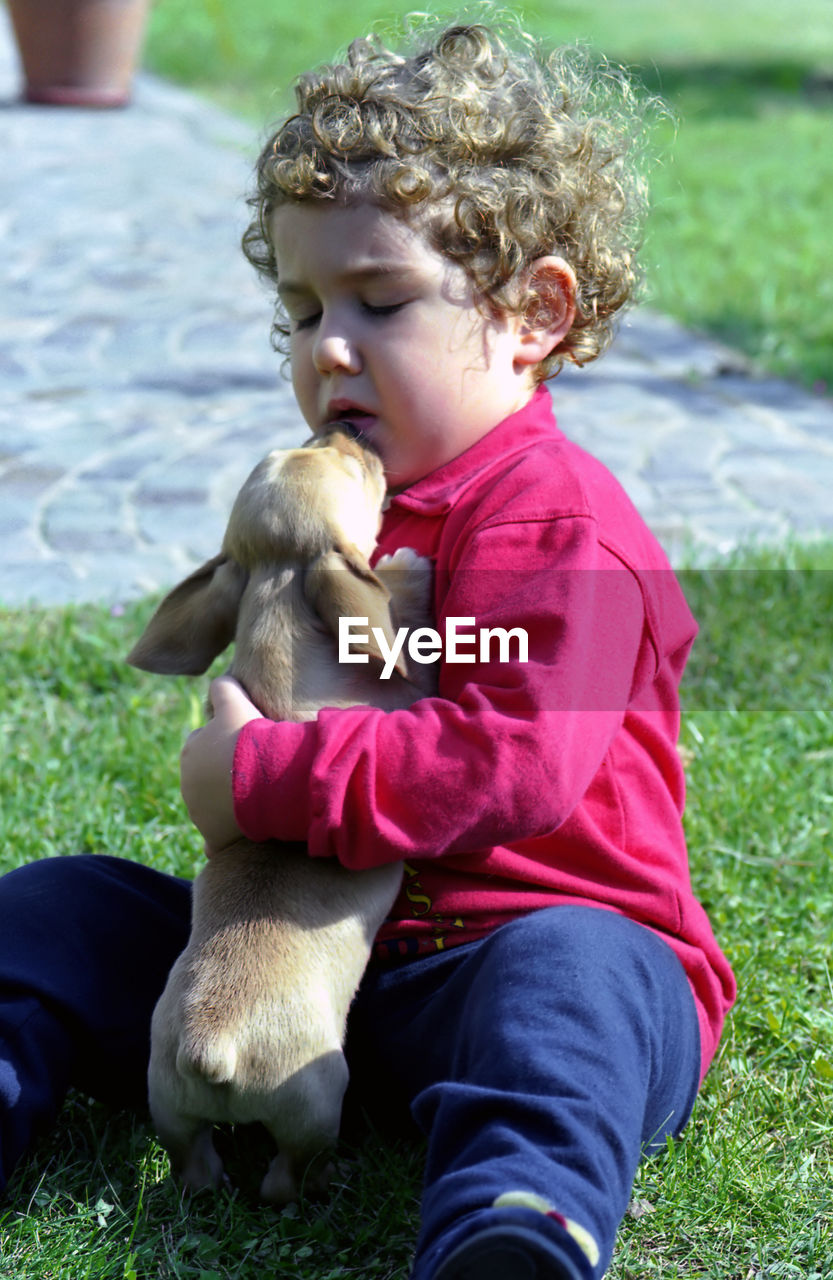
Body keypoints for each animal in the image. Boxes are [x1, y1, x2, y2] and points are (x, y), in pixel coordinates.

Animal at [128, 424, 437, 1203]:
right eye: (350, 466)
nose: (345, 428)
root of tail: (213, 1046)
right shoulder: (404, 696)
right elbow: (397, 624)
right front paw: (406, 570)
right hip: (318, 1099)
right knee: (283, 1178)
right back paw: (326, 1180)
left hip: (169, 1108)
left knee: (198, 1169)